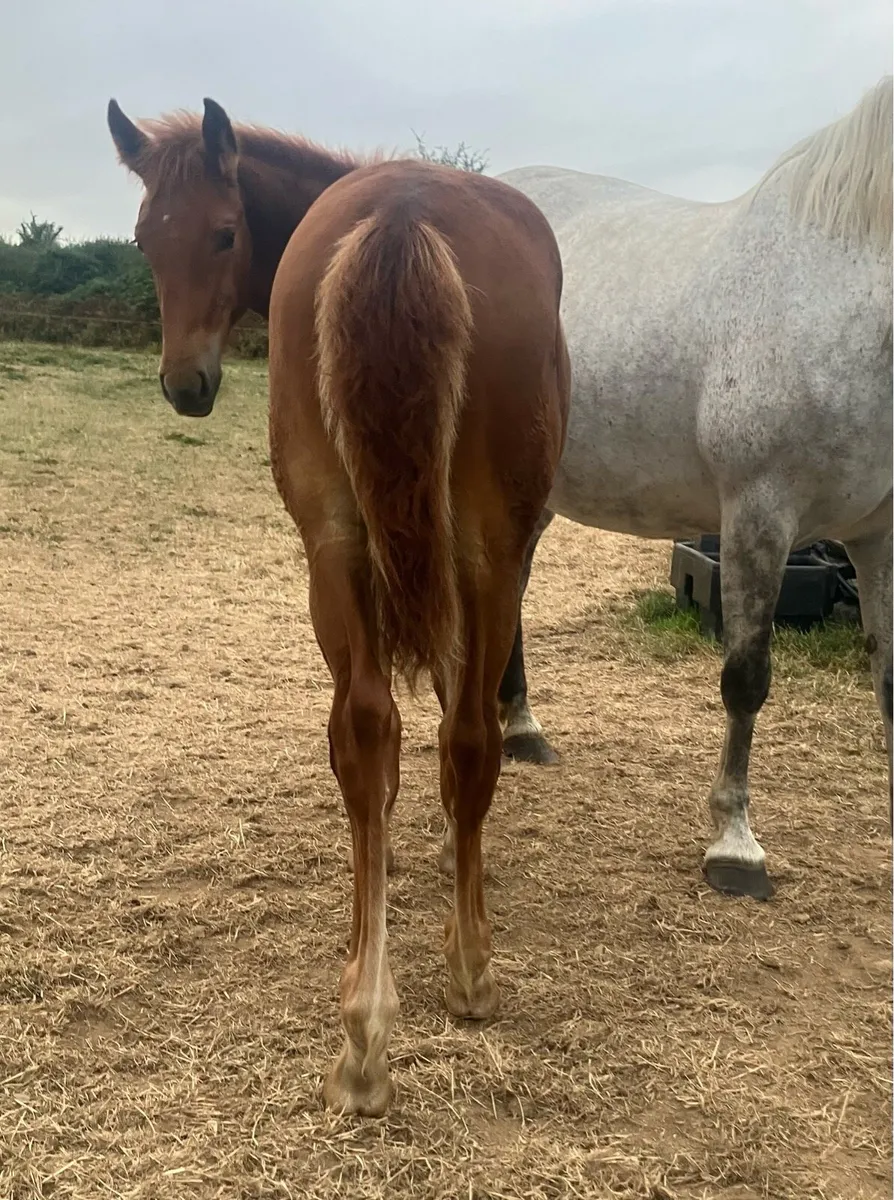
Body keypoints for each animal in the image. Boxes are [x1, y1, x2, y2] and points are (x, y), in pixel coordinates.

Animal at [109, 98, 570, 1114]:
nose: (185, 385)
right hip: (463, 555)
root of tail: (402, 215)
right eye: (145, 241)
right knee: (449, 731)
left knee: (386, 727)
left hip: (347, 548)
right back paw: (451, 980)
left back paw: (375, 1024)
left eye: (224, 233)